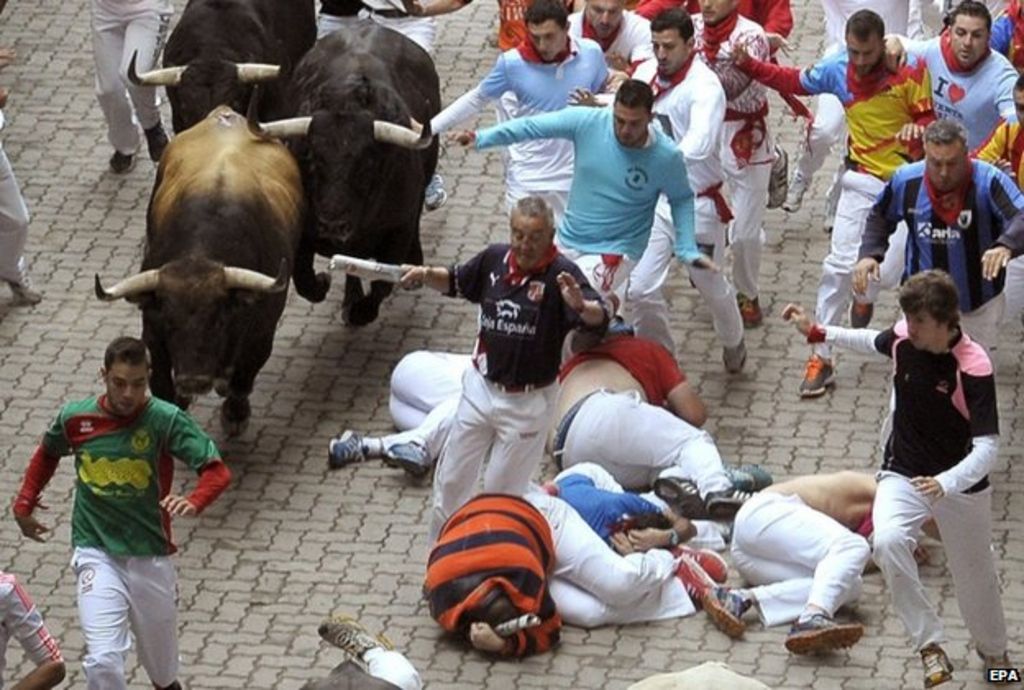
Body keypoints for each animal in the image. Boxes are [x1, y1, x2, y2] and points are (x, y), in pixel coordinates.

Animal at [96, 108, 327, 436]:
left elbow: (244, 376)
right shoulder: (152, 330)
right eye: (169, 320)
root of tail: (225, 113)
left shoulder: (262, 330)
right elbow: (162, 384)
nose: (193, 380)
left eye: (218, 320)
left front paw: (235, 415)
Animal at [286, 23, 438, 325]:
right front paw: (325, 283)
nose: (333, 225)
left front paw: (358, 311)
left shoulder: (398, 229)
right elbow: (305, 280)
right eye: (312, 160)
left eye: (367, 164)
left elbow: (381, 284)